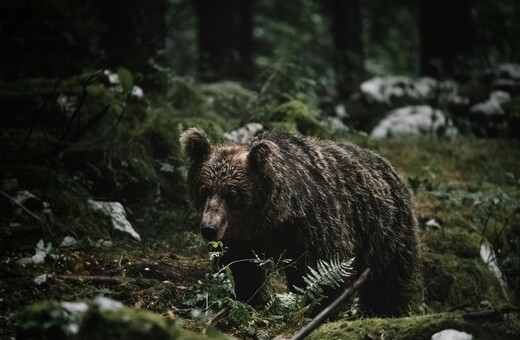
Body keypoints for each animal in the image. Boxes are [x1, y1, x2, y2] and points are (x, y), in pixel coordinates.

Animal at [179, 127, 418, 316]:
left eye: (232, 194)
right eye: (204, 189)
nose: (209, 228)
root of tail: (389, 168)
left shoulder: (312, 226)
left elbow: (322, 270)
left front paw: (315, 308)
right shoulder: (241, 238)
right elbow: (241, 269)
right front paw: (248, 299)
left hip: (385, 230)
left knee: (388, 280)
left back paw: (384, 311)